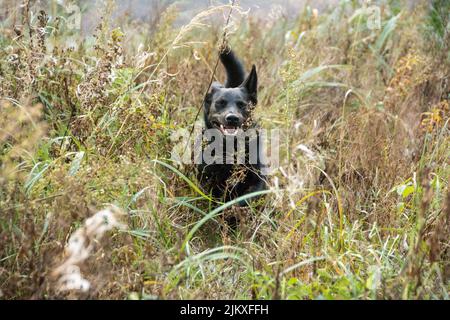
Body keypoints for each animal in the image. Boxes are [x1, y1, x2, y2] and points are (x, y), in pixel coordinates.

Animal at [197, 48, 268, 206]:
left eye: (242, 104)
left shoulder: (258, 181)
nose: (232, 118)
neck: (231, 148)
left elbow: (244, 200)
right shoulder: (206, 182)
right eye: (220, 103)